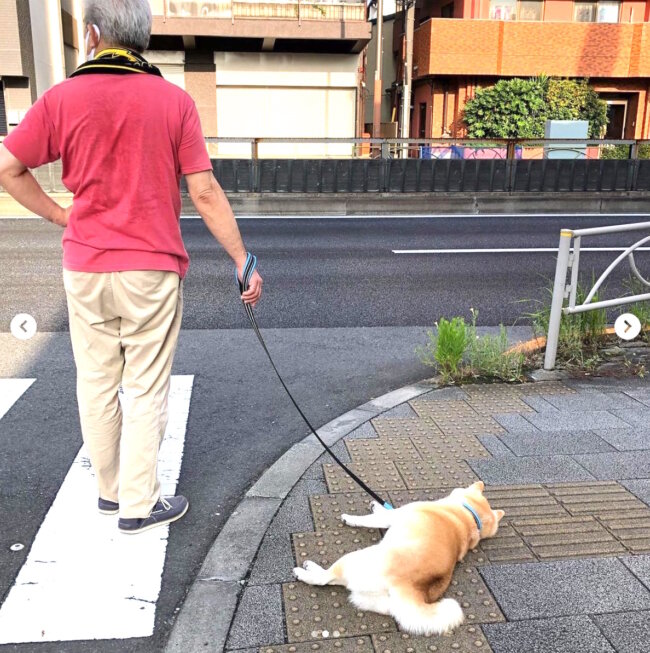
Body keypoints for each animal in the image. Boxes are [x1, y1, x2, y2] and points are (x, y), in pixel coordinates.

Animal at [292, 482, 502, 636]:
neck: (469, 516)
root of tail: (411, 589)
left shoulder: (393, 516)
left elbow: (373, 518)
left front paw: (351, 517)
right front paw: (377, 505)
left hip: (356, 558)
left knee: (325, 579)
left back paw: (307, 571)